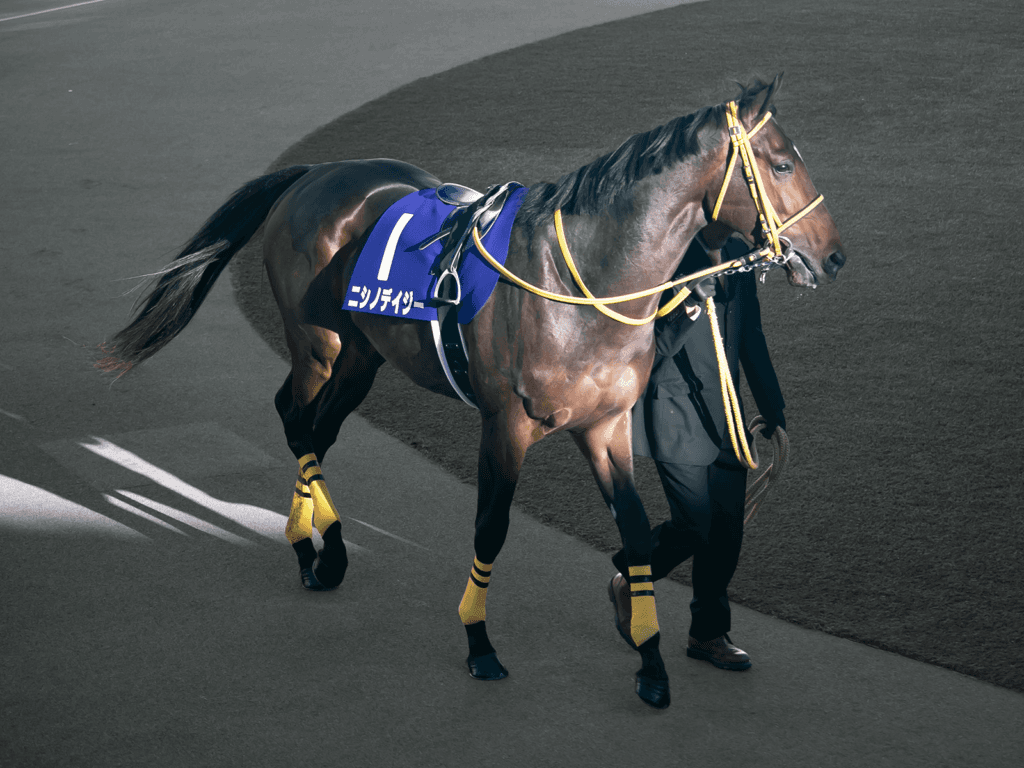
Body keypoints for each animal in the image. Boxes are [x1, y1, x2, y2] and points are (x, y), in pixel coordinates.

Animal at [98, 75, 845, 709]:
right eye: (782, 164)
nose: (834, 255)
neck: (586, 279)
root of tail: (314, 172)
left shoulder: (605, 425)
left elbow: (636, 534)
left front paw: (651, 662)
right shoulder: (505, 424)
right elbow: (491, 526)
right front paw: (479, 642)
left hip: (363, 354)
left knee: (313, 425)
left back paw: (321, 545)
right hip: (319, 343)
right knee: (298, 421)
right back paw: (316, 548)